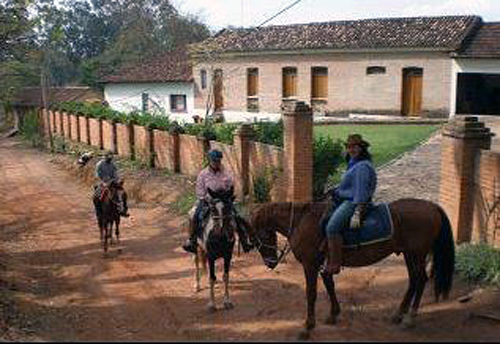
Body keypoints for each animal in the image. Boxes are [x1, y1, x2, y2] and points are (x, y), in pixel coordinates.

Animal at [248, 198, 456, 340]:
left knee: (420, 280)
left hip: (417, 254)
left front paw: (308, 327)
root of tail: (433, 207)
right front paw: (333, 314)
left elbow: (311, 293)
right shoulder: (324, 264)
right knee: (413, 280)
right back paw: (399, 314)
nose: (270, 263)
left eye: (258, 239)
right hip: (409, 254)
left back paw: (410, 318)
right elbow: (330, 285)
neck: (302, 221)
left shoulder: (310, 265)